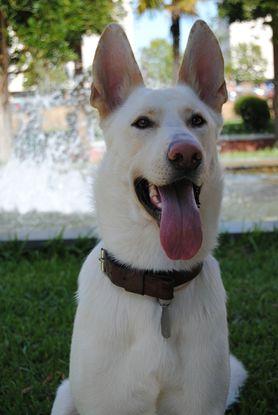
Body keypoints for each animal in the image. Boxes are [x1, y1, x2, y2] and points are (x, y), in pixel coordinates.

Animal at [51, 20, 247, 415]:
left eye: (197, 120)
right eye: (142, 123)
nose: (186, 154)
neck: (158, 278)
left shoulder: (201, 405)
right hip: (64, 395)